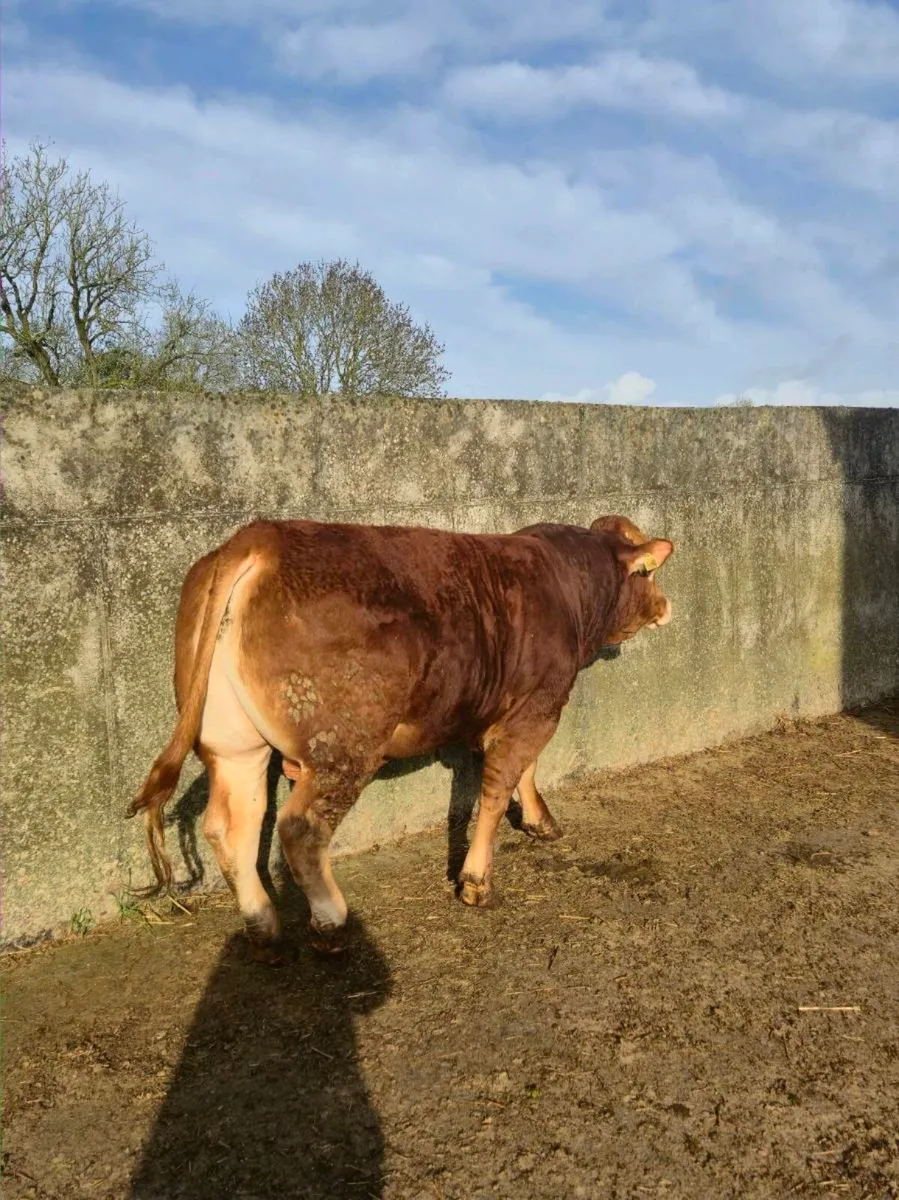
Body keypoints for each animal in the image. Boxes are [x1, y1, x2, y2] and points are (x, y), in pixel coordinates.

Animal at [130, 515, 674, 959]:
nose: (666, 605)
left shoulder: (517, 709)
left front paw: (540, 822)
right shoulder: (539, 704)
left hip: (233, 744)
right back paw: (332, 924)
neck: (567, 583)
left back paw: (264, 929)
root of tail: (258, 536)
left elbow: (526, 769)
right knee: (300, 829)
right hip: (343, 744)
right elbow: (498, 787)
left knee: (231, 826)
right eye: (647, 574)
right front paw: (476, 881)